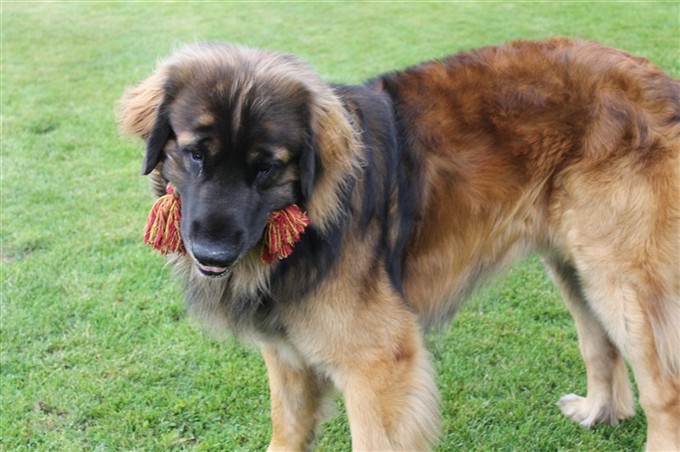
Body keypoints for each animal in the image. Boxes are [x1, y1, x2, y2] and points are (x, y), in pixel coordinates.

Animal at [119, 38, 676, 448]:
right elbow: (287, 431)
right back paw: (600, 412)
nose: (212, 254)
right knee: (600, 344)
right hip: (574, 265)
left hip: (619, 277)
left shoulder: (378, 365)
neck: (315, 216)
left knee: (663, 388)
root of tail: (659, 82)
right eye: (195, 155)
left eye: (267, 167)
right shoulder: (287, 356)